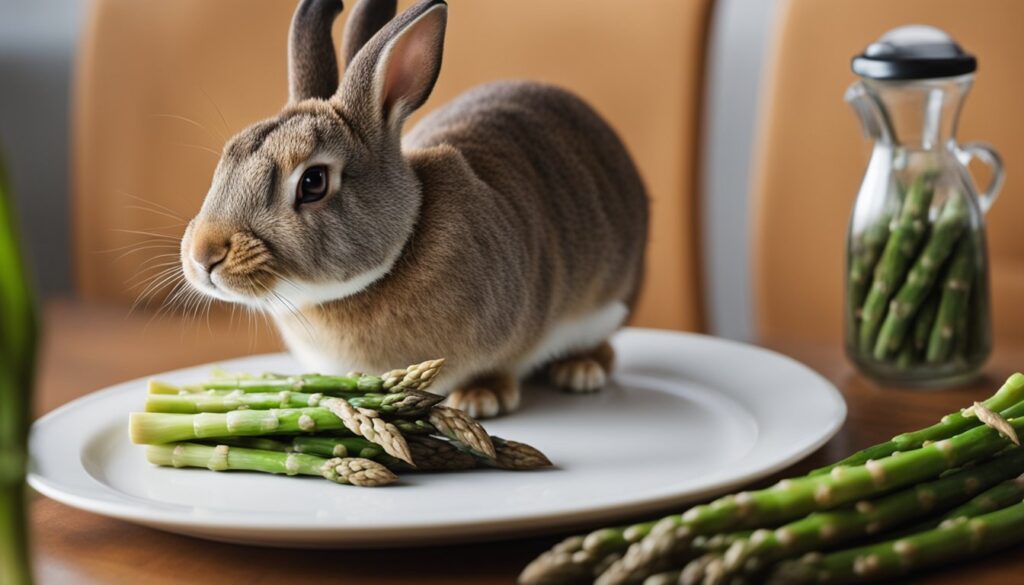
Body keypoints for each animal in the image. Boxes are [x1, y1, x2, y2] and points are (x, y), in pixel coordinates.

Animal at [179, 0, 648, 418]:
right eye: (229, 156)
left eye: (313, 183)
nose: (204, 255)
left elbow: (501, 366)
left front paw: (481, 400)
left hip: (610, 298)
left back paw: (580, 370)